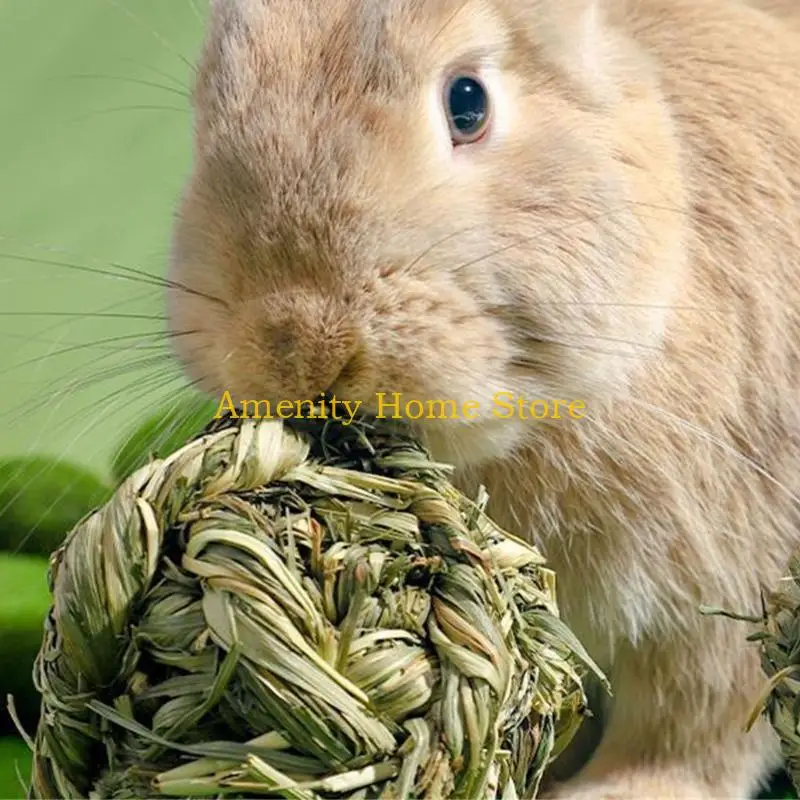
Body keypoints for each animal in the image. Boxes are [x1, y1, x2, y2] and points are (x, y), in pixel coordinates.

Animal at [166, 0, 800, 796]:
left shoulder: (727, 582)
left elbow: (695, 725)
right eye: (205, 112)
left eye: (467, 102)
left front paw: (610, 789)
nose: (299, 346)